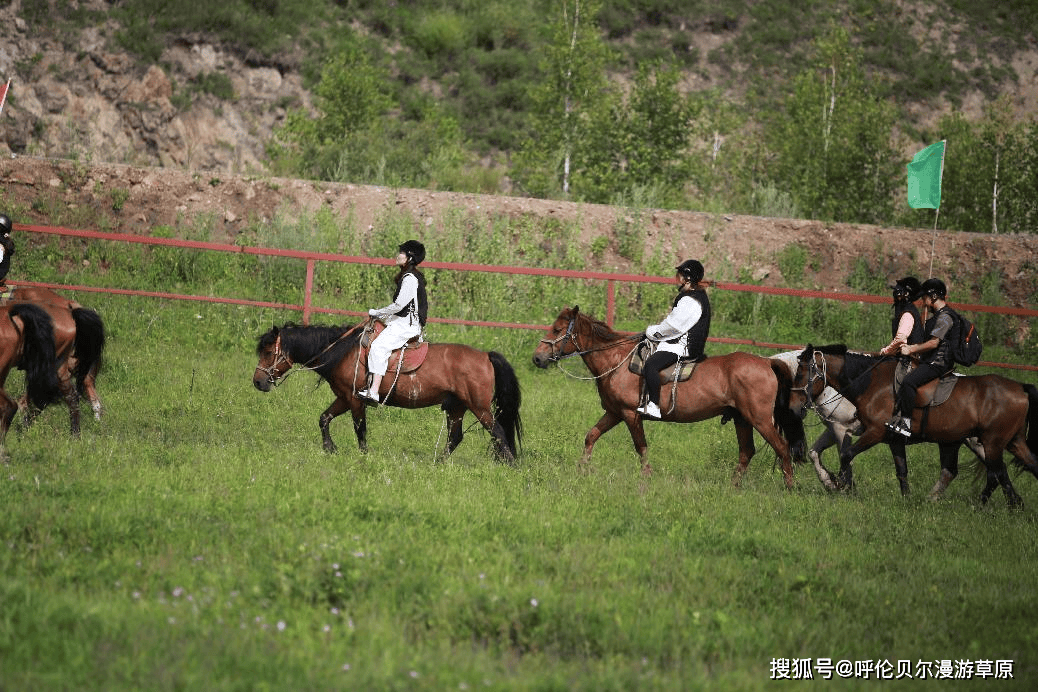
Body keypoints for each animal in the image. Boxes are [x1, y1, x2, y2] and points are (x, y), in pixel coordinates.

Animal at [250, 321, 523, 462]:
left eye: (268, 352)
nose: (258, 382)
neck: (344, 351)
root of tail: (485, 355)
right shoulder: (343, 397)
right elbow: (324, 418)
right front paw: (329, 448)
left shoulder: (354, 400)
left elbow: (360, 430)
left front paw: (363, 456)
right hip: (457, 406)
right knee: (455, 437)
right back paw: (438, 463)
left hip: (479, 407)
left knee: (499, 432)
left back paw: (510, 465)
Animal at [531, 305, 805, 485]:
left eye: (556, 329)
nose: (537, 358)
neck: (617, 361)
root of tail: (766, 362)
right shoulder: (614, 413)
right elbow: (591, 436)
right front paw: (581, 470)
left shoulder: (630, 415)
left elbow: (640, 446)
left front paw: (646, 478)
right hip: (742, 419)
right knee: (746, 452)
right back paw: (734, 487)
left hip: (759, 419)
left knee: (782, 448)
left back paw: (789, 487)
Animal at [784, 344, 1038, 506]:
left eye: (803, 372)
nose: (793, 408)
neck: (871, 384)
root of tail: (1020, 388)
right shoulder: (890, 438)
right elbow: (901, 470)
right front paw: (832, 482)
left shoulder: (860, 431)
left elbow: (846, 455)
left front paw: (842, 485)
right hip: (988, 442)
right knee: (997, 470)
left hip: (988, 442)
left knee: (995, 471)